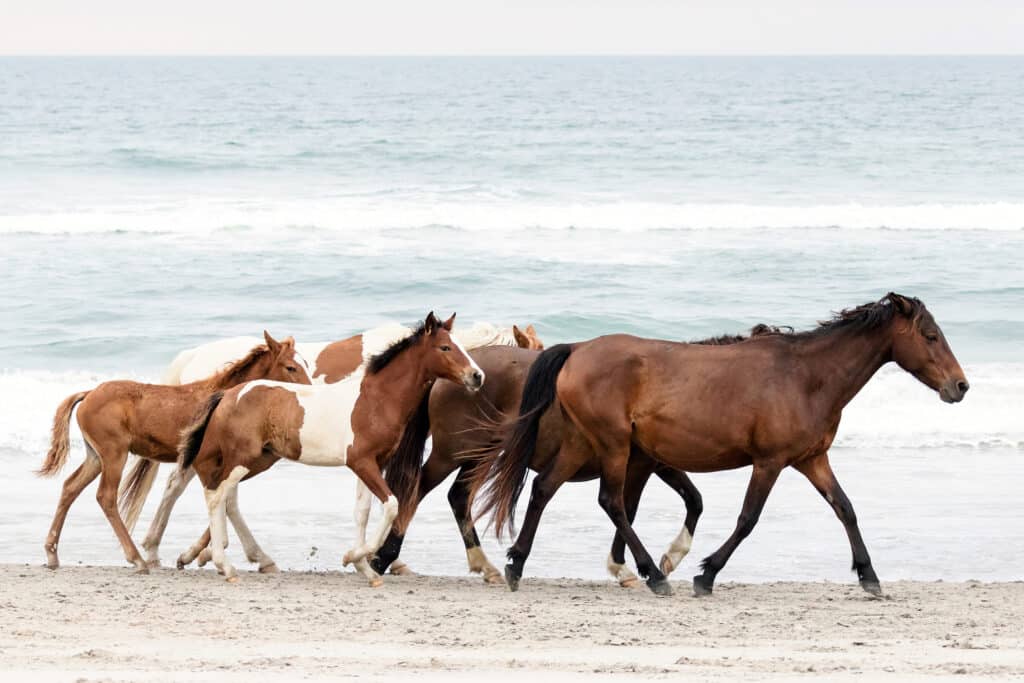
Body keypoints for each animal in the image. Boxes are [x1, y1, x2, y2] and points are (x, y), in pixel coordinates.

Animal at [37, 331, 311, 573]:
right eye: (290, 367)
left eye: (307, 364)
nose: (311, 392)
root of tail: (88, 394)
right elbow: (223, 499)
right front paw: (199, 555)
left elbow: (223, 499)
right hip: (114, 454)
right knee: (106, 496)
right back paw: (137, 559)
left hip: (96, 457)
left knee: (70, 487)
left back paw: (52, 553)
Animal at [174, 313, 481, 585]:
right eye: (445, 347)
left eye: (460, 344)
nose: (477, 376)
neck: (376, 400)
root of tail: (229, 394)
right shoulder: (361, 462)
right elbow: (391, 505)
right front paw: (352, 558)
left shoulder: (374, 462)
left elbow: (362, 512)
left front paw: (365, 569)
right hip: (241, 459)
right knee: (216, 497)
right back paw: (224, 566)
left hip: (255, 460)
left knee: (219, 495)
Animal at [471, 296, 966, 593]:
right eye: (930, 335)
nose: (960, 387)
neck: (805, 377)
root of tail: (576, 349)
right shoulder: (770, 462)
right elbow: (748, 519)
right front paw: (705, 574)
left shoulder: (812, 459)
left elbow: (845, 508)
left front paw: (869, 576)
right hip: (613, 446)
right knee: (611, 502)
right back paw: (654, 575)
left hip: (582, 442)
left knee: (543, 490)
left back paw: (515, 566)